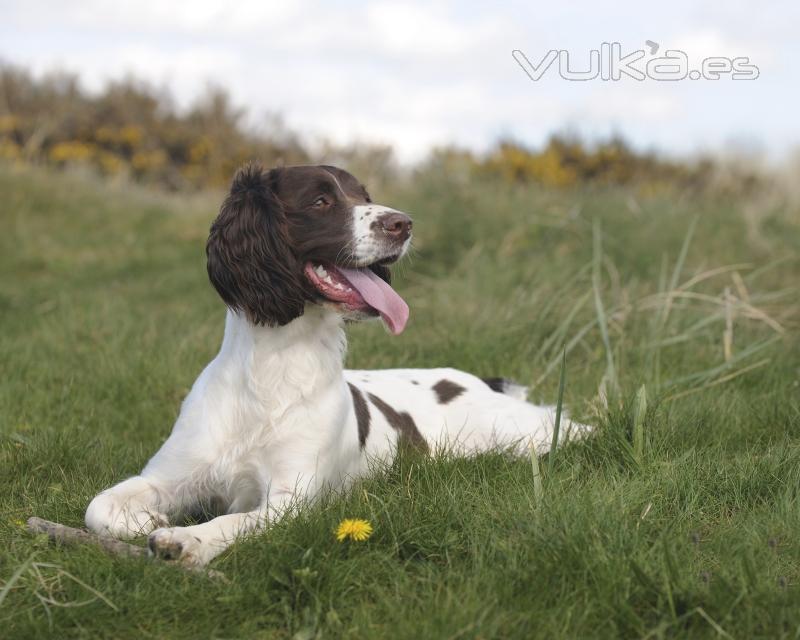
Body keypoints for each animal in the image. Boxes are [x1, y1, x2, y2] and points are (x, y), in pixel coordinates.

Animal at [87, 164, 588, 564]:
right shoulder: (168, 473)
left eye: (364, 197)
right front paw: (147, 518)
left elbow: (232, 522)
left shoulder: (290, 500)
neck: (273, 368)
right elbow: (99, 507)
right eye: (321, 200)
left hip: (521, 433)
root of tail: (481, 381)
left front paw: (184, 539)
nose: (403, 223)